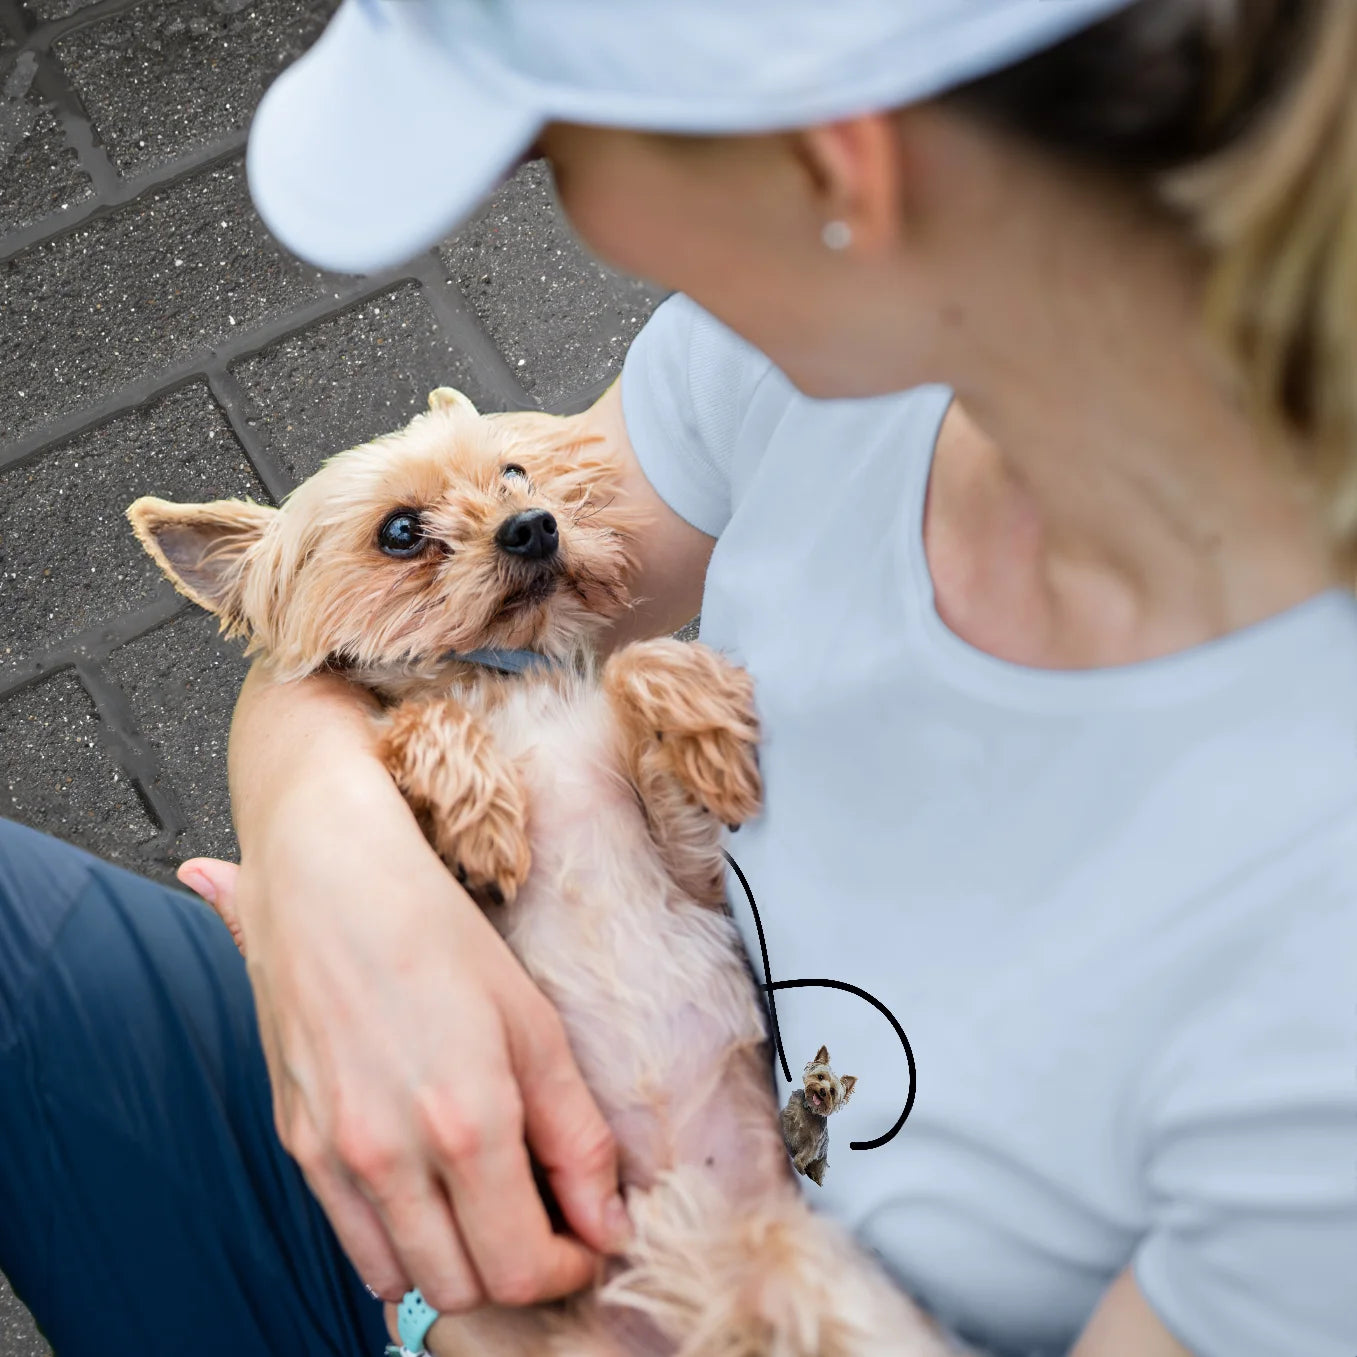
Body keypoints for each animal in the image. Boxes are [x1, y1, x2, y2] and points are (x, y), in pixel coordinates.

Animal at [781, 1042, 852, 1183]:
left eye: (832, 1091)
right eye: (820, 1077)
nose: (823, 1091)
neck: (809, 1109)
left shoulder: (813, 1144)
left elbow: (804, 1155)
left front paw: (799, 1166)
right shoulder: (786, 1118)